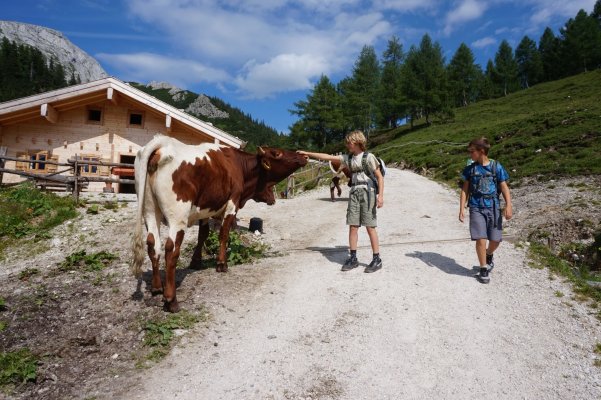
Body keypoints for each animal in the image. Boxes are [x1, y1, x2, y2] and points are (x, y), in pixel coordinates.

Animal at [133, 134, 308, 312]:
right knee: (171, 250)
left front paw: (196, 261)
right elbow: (224, 234)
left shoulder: (206, 208)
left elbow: (203, 235)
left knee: (153, 244)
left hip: (150, 211)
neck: (239, 165)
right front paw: (221, 263)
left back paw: (156, 287)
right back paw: (171, 299)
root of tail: (162, 143)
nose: (304, 155)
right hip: (177, 216)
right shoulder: (232, 204)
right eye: (277, 153)